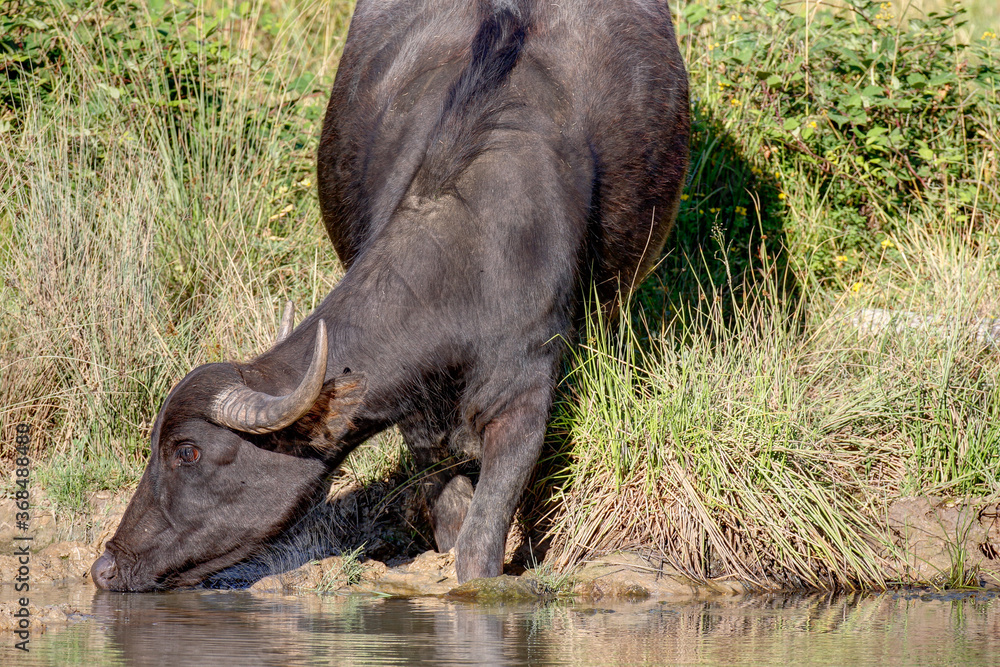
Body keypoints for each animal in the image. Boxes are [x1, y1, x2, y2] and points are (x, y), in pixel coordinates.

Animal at [92, 0, 689, 591]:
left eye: (187, 451)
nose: (105, 566)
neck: (470, 253)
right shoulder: (416, 416)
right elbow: (450, 515)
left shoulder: (524, 400)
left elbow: (480, 541)